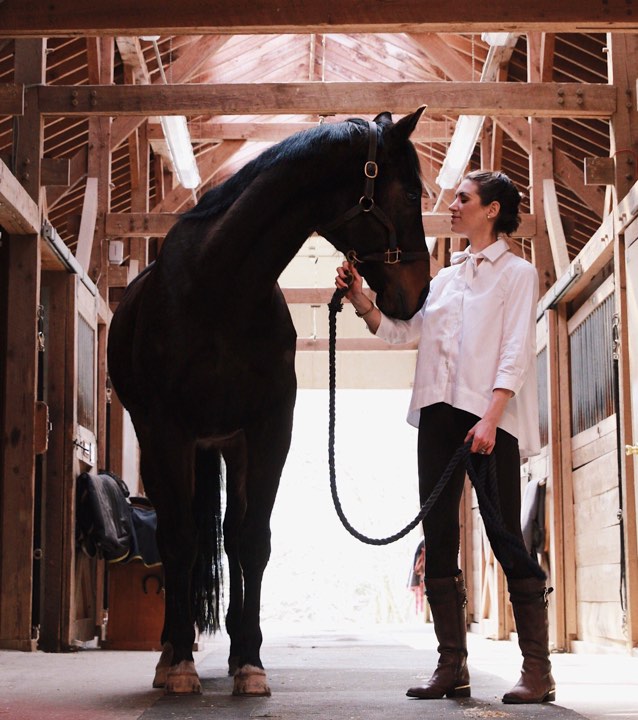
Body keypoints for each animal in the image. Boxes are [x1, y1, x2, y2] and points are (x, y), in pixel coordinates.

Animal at [107, 108, 432, 696]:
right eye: (413, 191)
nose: (417, 293)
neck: (219, 288)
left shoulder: (267, 430)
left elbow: (252, 540)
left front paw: (251, 662)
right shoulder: (168, 431)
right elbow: (182, 540)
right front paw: (181, 665)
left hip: (228, 446)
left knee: (232, 538)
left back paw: (235, 646)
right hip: (170, 445)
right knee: (177, 535)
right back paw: (170, 653)